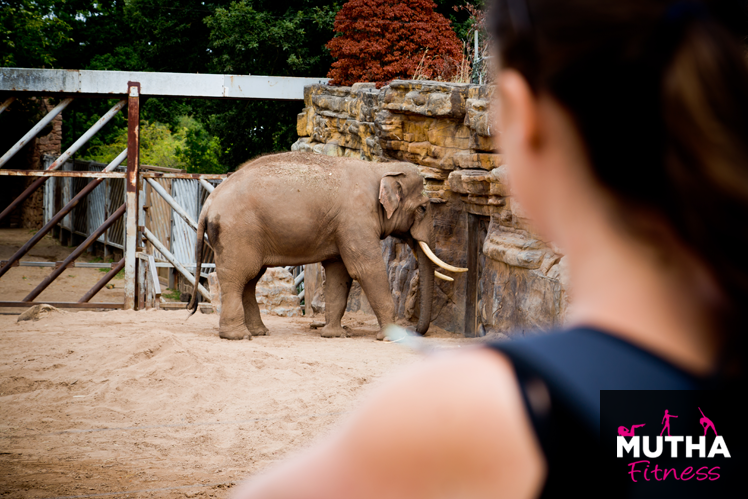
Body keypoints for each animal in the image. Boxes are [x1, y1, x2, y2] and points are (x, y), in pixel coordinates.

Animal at [187, 151, 464, 340]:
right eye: (424, 208)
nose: (416, 331)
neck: (379, 168)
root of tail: (209, 202)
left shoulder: (342, 227)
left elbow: (339, 274)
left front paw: (335, 334)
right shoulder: (355, 218)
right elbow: (366, 269)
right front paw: (392, 338)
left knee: (251, 279)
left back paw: (259, 332)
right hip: (237, 233)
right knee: (237, 276)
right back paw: (239, 336)